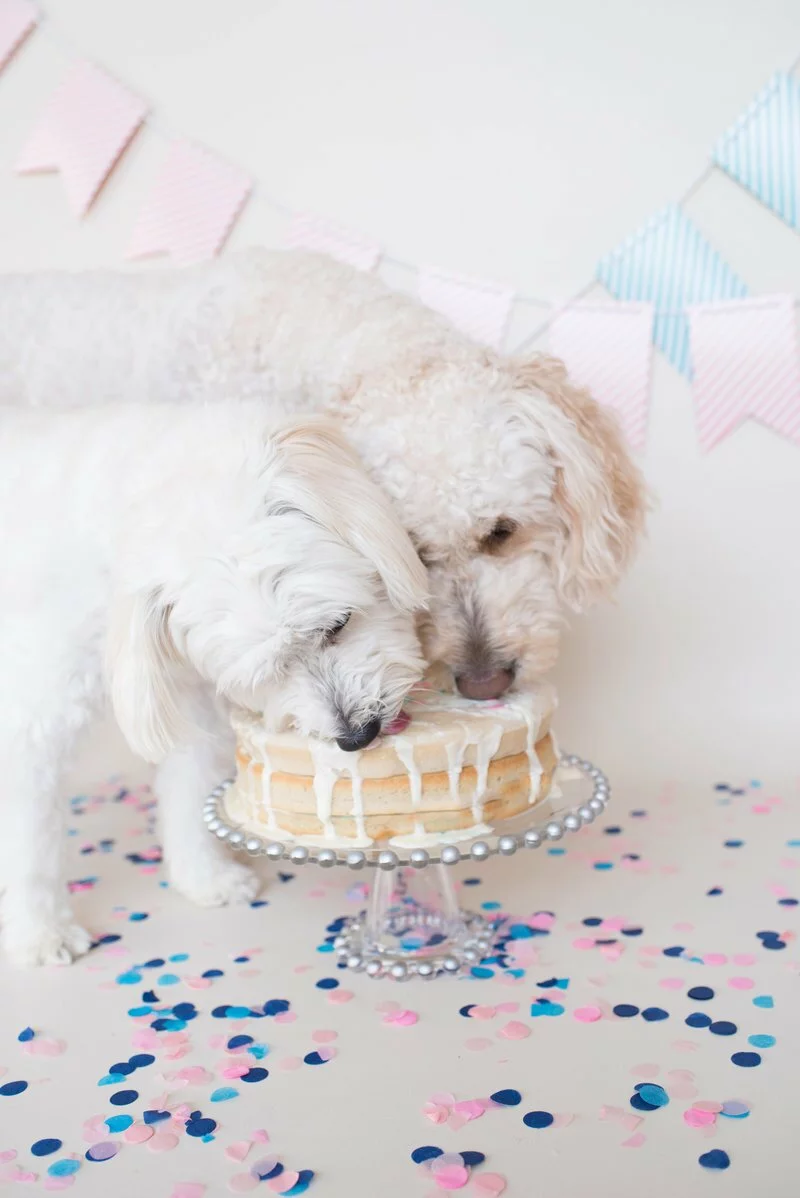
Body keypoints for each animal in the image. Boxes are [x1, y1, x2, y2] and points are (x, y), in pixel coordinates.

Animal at [0, 402, 428, 963]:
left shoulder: (189, 699)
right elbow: (31, 840)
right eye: (268, 673)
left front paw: (204, 876)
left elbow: (189, 792)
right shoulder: (35, 723)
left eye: (338, 624)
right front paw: (39, 931)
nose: (357, 735)